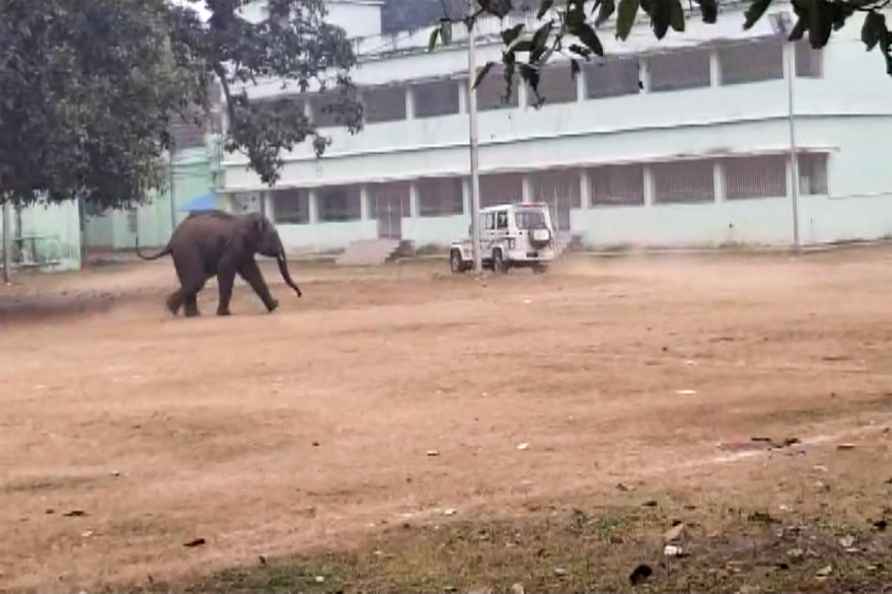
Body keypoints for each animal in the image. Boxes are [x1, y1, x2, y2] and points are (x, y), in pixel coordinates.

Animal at [135, 210, 304, 316]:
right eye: (274, 236)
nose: (299, 294)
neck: (246, 218)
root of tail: (170, 241)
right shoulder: (235, 245)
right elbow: (226, 269)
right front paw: (224, 314)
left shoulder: (244, 251)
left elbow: (253, 273)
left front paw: (274, 306)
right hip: (187, 252)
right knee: (196, 280)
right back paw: (171, 309)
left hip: (182, 255)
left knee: (191, 281)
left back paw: (191, 314)